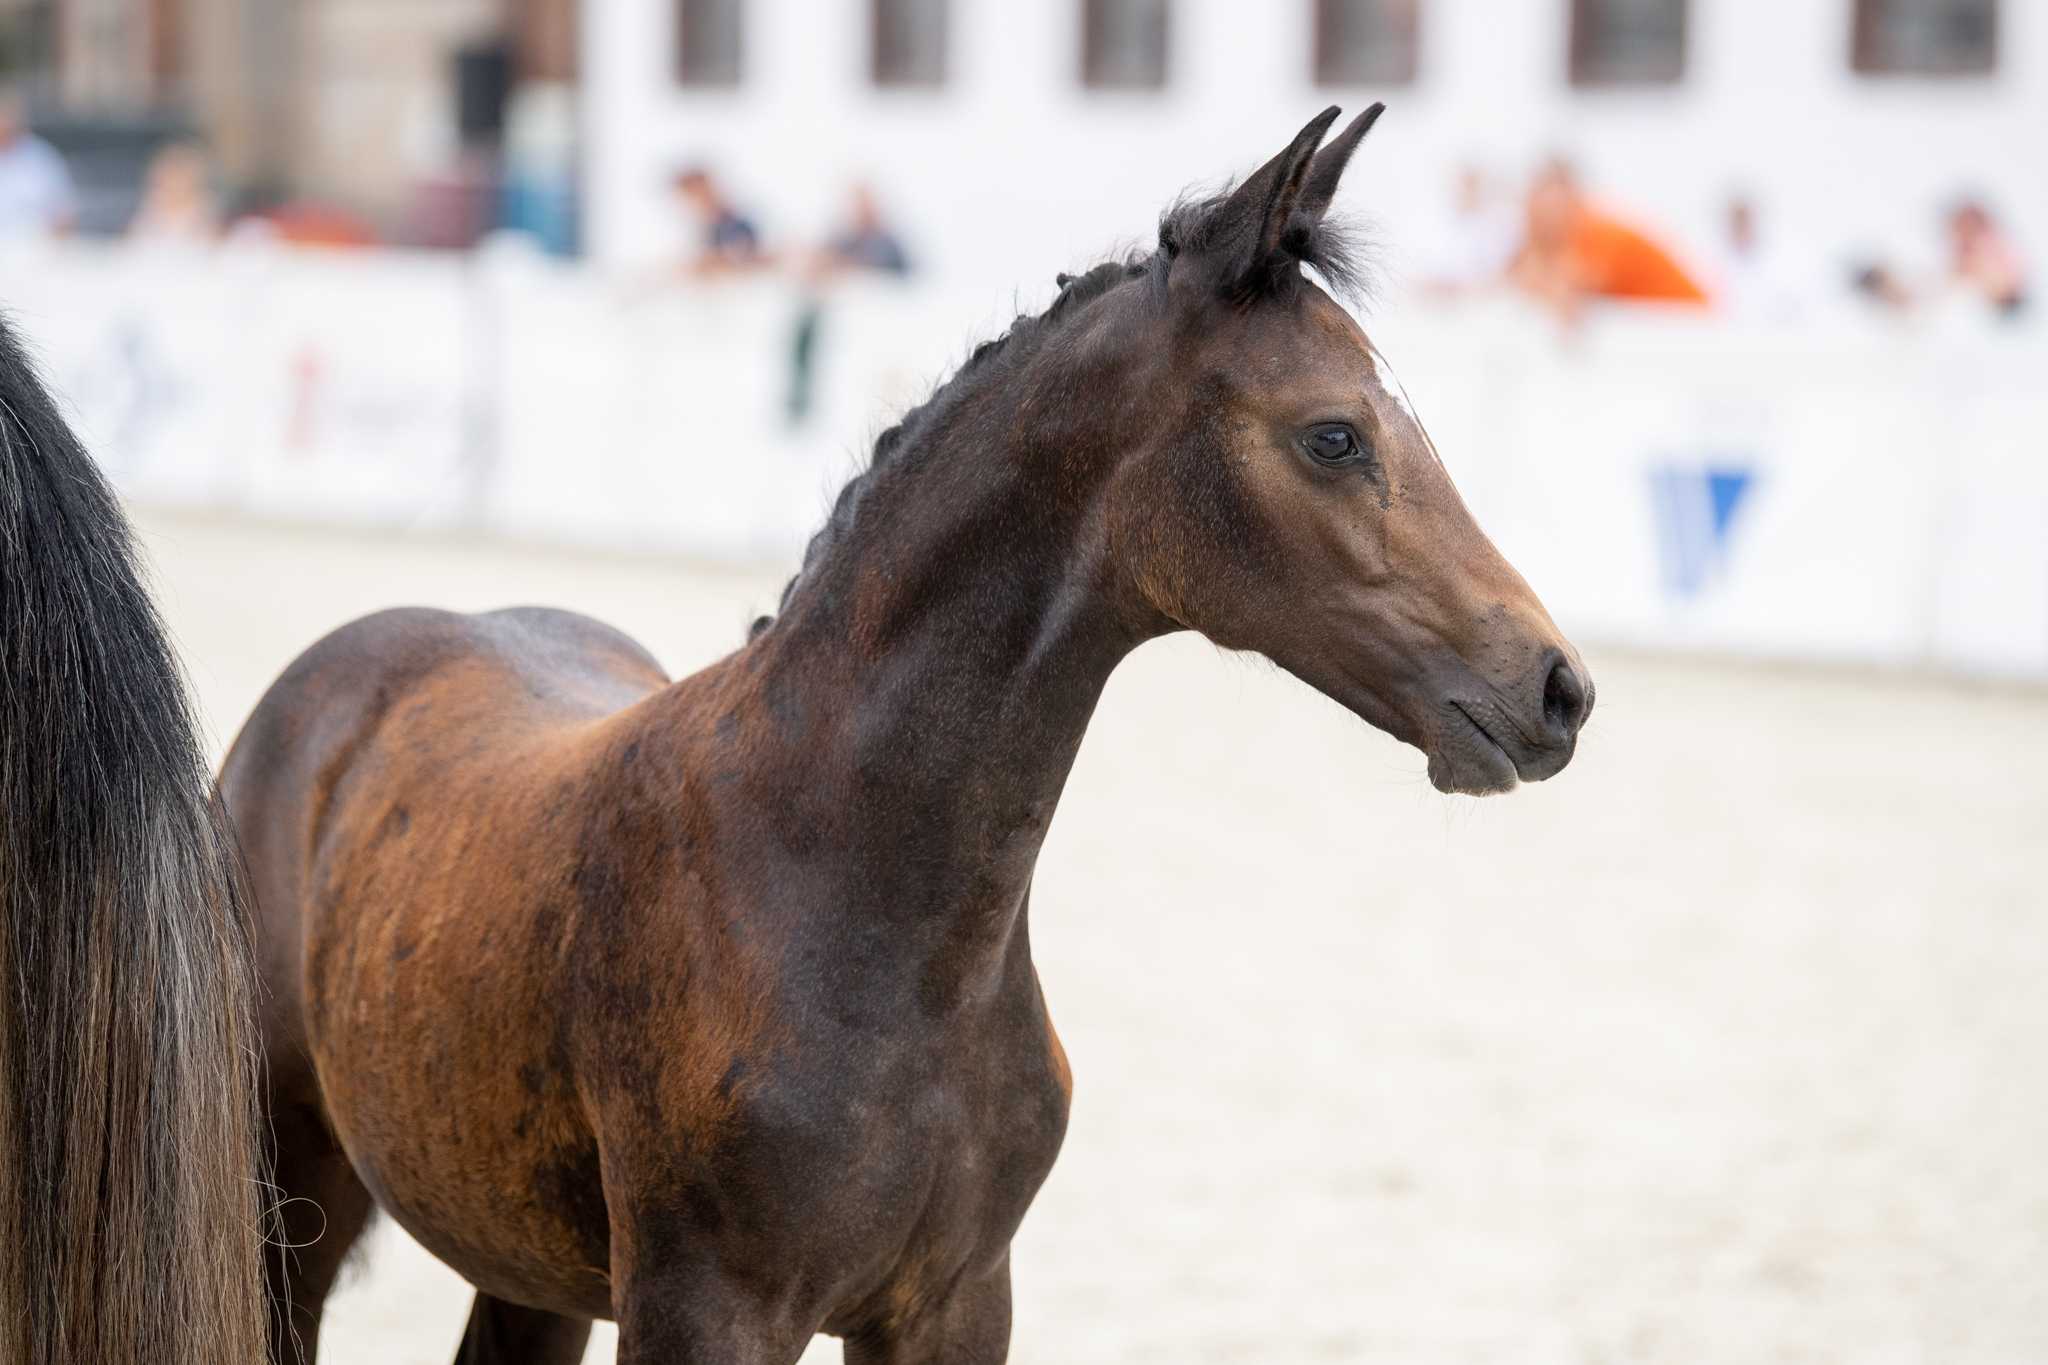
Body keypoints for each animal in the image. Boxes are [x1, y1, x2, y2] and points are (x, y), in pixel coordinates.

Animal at [223, 105, 1592, 1364]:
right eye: (1332, 435)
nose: (1554, 690)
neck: (848, 889)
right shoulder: (704, 1310)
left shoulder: (954, 1301)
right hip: (294, 1203)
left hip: (523, 1262)